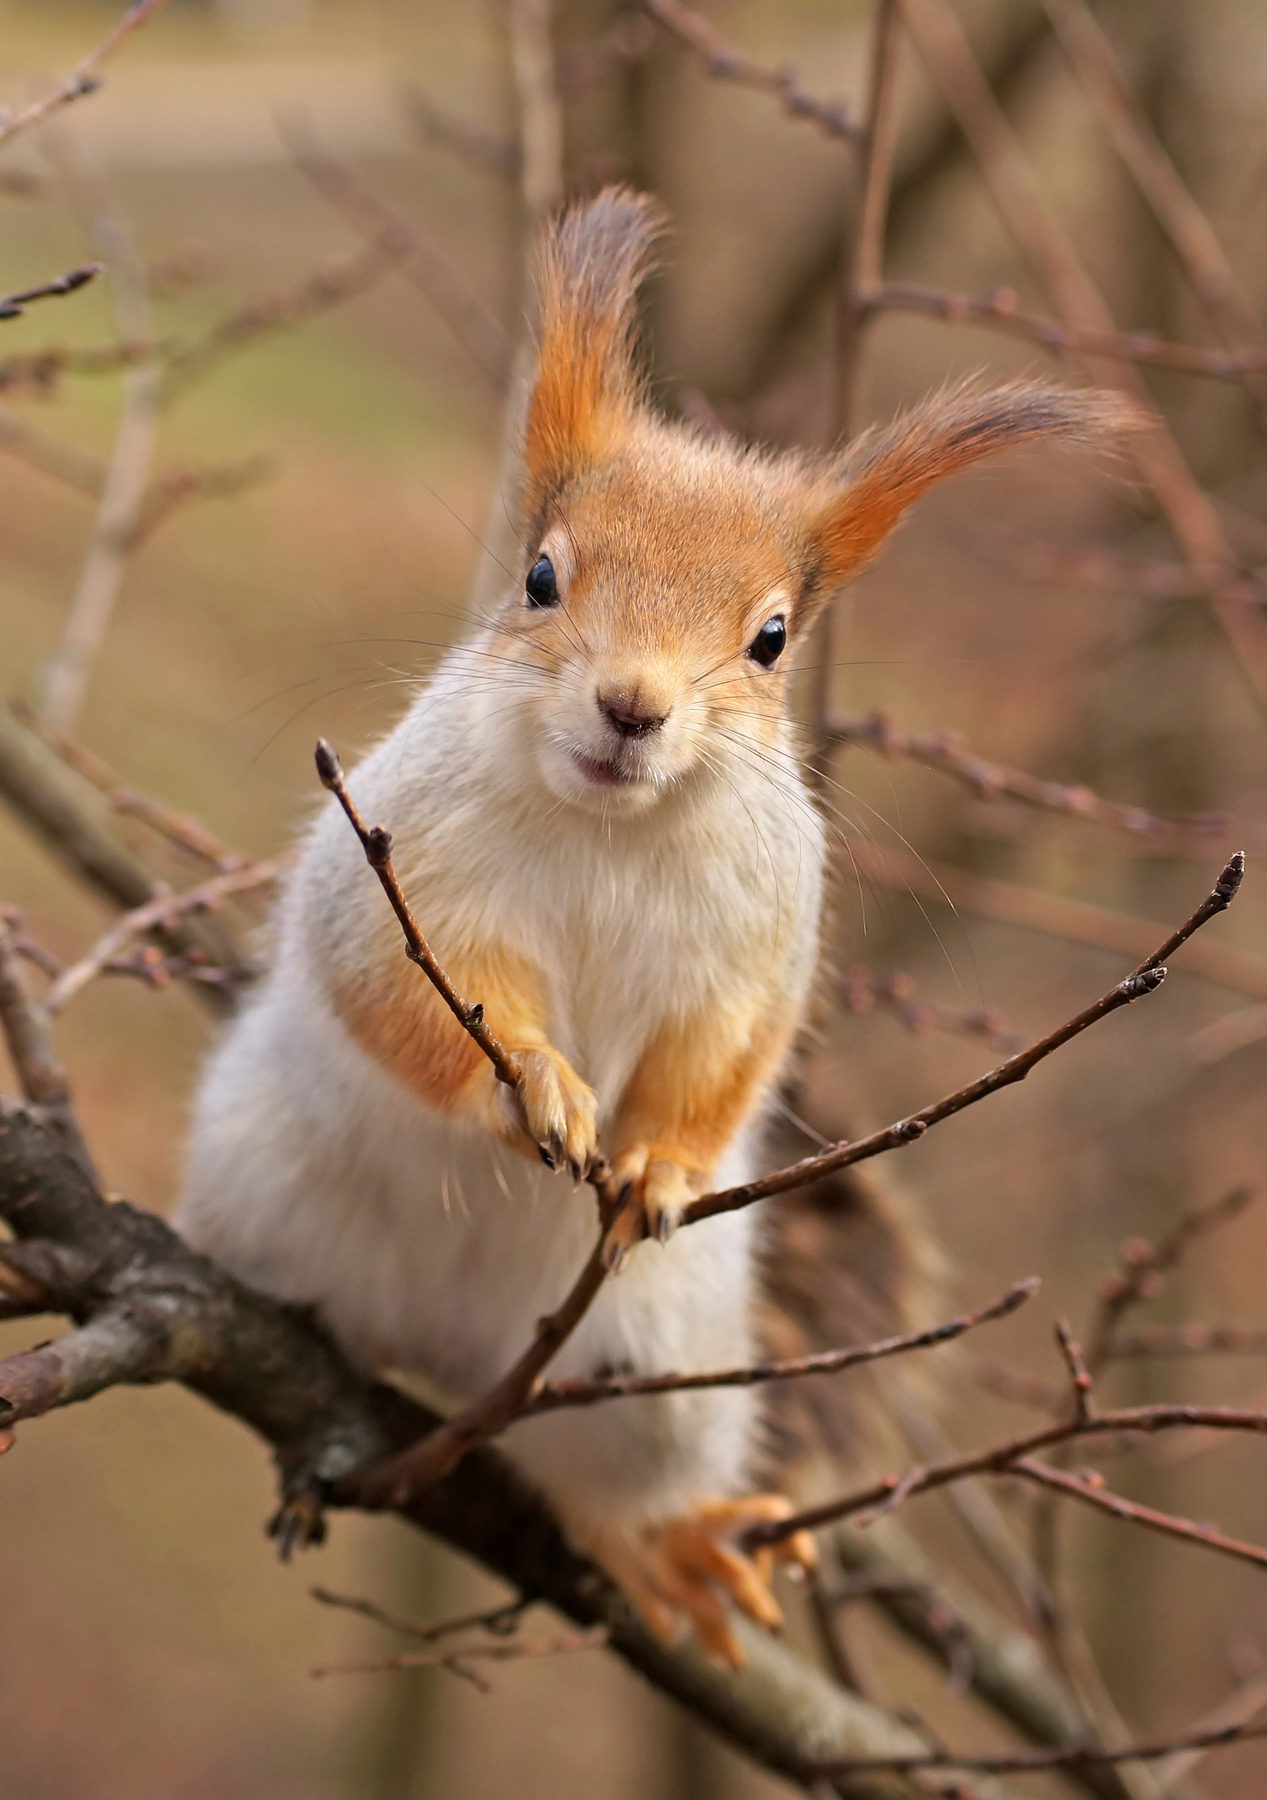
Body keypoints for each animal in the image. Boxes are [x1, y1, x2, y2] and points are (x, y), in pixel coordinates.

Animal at [177, 187, 1120, 1665]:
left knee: (611, 1480)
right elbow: (396, 991)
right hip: (263, 1195)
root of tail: (451, 1356)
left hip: (656, 1370)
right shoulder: (398, 874)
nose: (631, 707)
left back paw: (668, 1544)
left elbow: (726, 1055)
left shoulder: (759, 944)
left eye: (773, 639)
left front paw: (659, 1165)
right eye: (538, 578)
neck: (613, 830)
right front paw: (538, 1087)